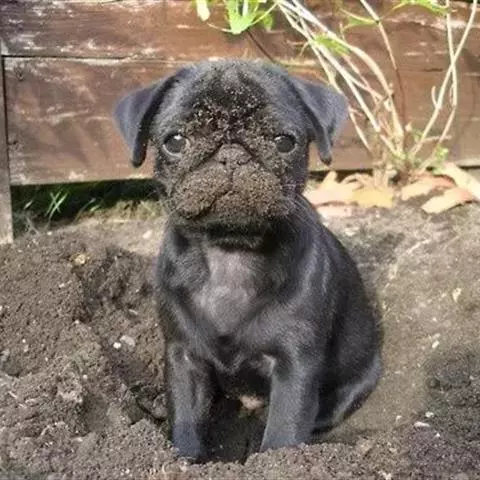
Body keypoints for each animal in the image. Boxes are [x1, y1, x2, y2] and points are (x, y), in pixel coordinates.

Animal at [113, 59, 381, 461]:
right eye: (175, 141)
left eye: (284, 141)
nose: (232, 152)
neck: (231, 253)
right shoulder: (183, 357)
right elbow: (186, 422)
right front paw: (185, 460)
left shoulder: (295, 364)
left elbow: (284, 430)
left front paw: (275, 461)